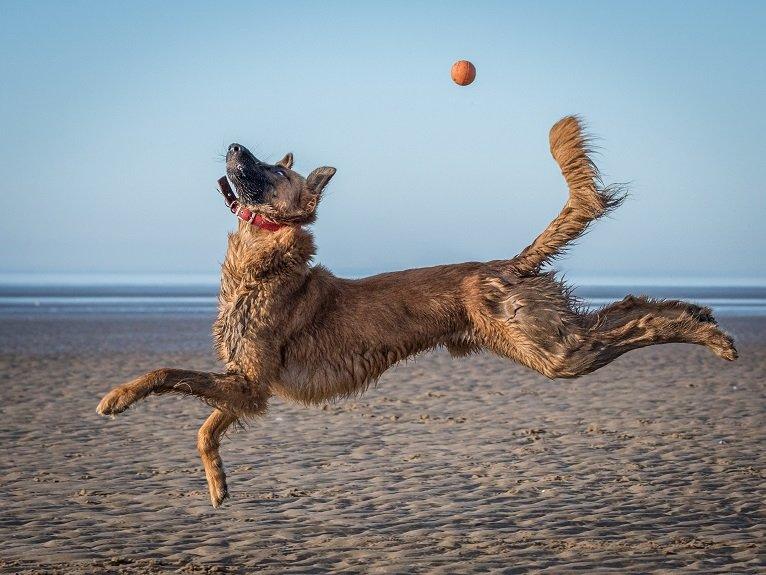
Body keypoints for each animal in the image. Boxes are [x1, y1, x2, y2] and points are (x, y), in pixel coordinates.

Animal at [97, 117, 736, 508]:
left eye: (275, 170)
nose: (232, 143)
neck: (264, 260)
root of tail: (509, 263)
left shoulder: (249, 382)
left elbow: (166, 374)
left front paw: (117, 397)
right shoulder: (248, 389)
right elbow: (205, 429)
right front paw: (218, 486)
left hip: (552, 351)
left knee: (636, 324)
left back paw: (710, 336)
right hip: (548, 336)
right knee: (628, 307)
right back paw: (698, 311)